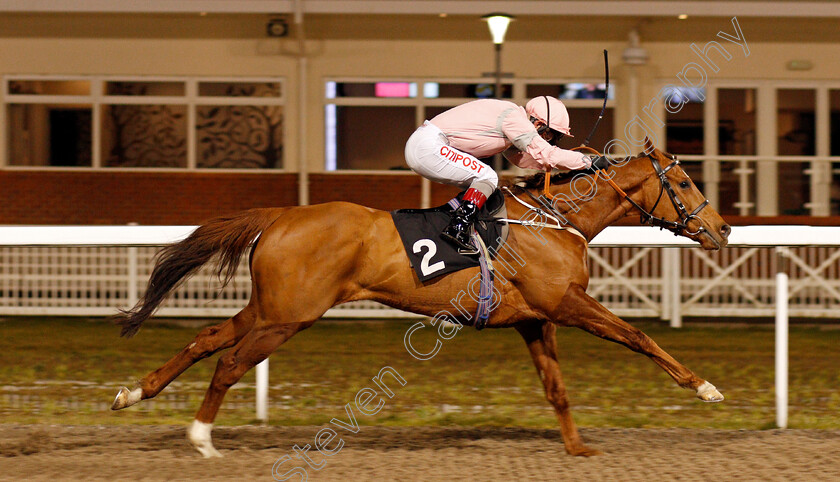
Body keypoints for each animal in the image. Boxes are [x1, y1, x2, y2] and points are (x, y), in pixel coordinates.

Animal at [110, 140, 728, 460]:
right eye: (686, 183)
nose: (722, 230)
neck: (555, 219)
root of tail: (281, 215)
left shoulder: (536, 319)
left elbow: (556, 387)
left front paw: (578, 449)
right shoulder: (566, 303)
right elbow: (639, 336)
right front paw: (704, 387)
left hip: (270, 308)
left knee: (207, 339)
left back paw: (133, 392)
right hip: (289, 316)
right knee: (232, 362)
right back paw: (202, 439)